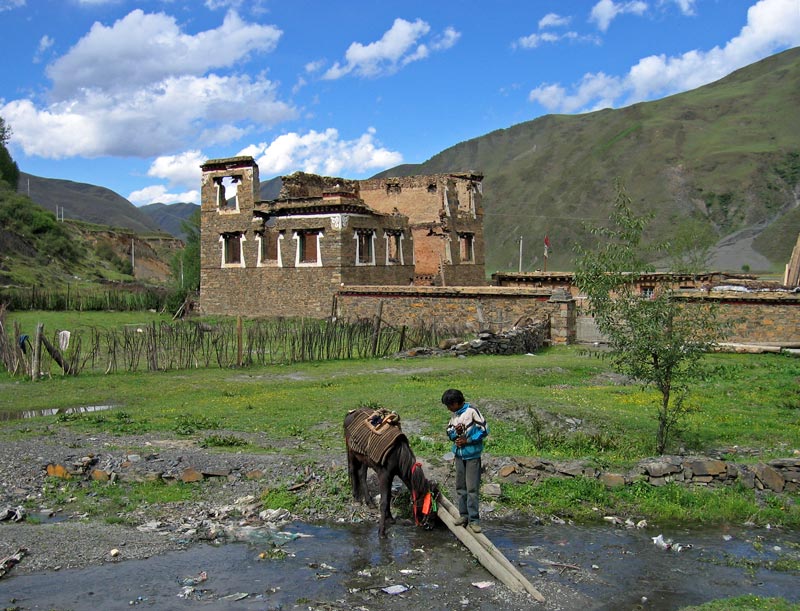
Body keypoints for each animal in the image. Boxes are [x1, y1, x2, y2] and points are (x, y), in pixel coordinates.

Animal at [344, 408, 438, 536]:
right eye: (430, 506)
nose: (430, 526)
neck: (398, 455)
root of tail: (351, 413)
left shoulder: (391, 476)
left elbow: (388, 497)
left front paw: (390, 518)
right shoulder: (384, 476)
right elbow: (384, 501)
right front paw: (381, 531)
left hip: (363, 458)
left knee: (362, 475)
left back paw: (369, 502)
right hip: (351, 452)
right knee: (353, 471)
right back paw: (357, 499)